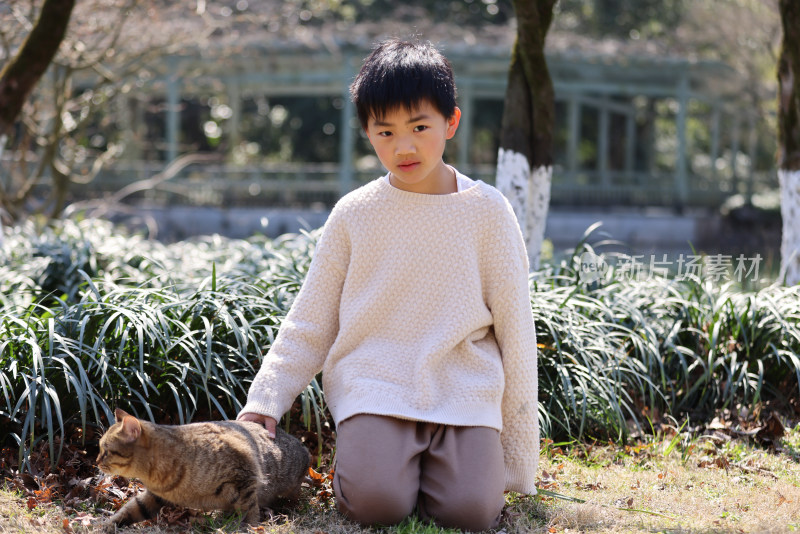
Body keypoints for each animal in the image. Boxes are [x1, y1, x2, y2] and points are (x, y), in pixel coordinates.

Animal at [97, 410, 310, 532]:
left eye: (105, 450)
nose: (96, 461)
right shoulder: (155, 496)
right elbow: (131, 509)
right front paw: (105, 525)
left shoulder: (245, 475)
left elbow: (249, 509)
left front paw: (248, 527)